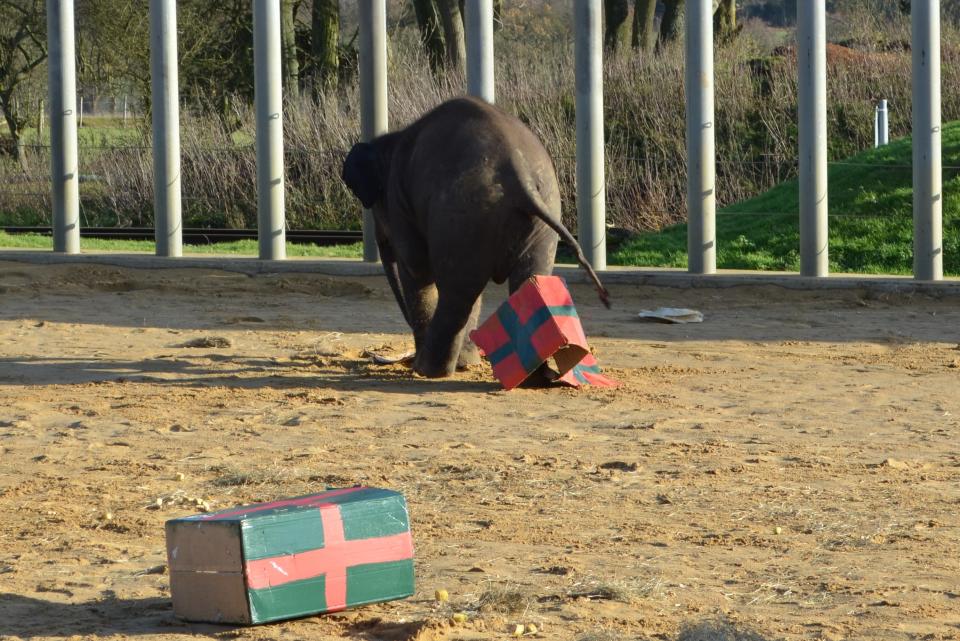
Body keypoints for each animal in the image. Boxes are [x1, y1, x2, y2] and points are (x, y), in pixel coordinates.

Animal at [344, 97, 608, 378]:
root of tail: (518, 173)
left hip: (463, 212)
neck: (390, 141)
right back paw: (533, 375)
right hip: (539, 211)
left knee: (456, 295)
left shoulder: (399, 200)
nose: (406, 358)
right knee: (521, 279)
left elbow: (416, 269)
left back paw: (428, 370)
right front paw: (466, 363)